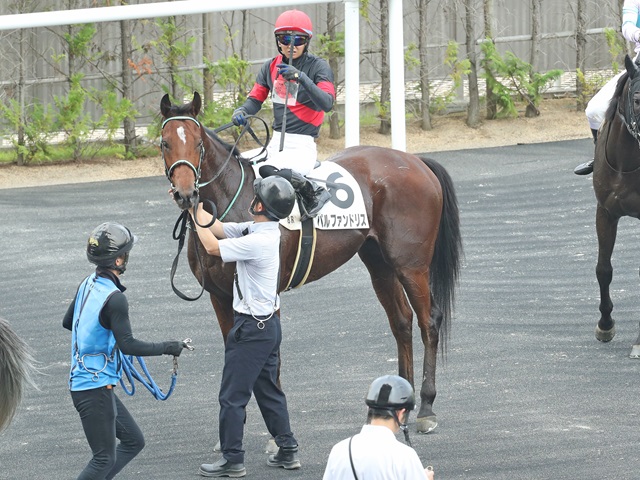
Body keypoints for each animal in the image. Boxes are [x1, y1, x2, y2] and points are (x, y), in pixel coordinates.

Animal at [159, 92, 462, 433]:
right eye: (165, 143)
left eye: (198, 143)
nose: (185, 195)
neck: (232, 204)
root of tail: (414, 161)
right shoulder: (220, 296)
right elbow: (234, 354)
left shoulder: (267, 295)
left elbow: (270, 359)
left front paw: (275, 432)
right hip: (379, 264)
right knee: (401, 320)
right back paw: (399, 406)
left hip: (411, 265)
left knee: (429, 321)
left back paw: (426, 407)